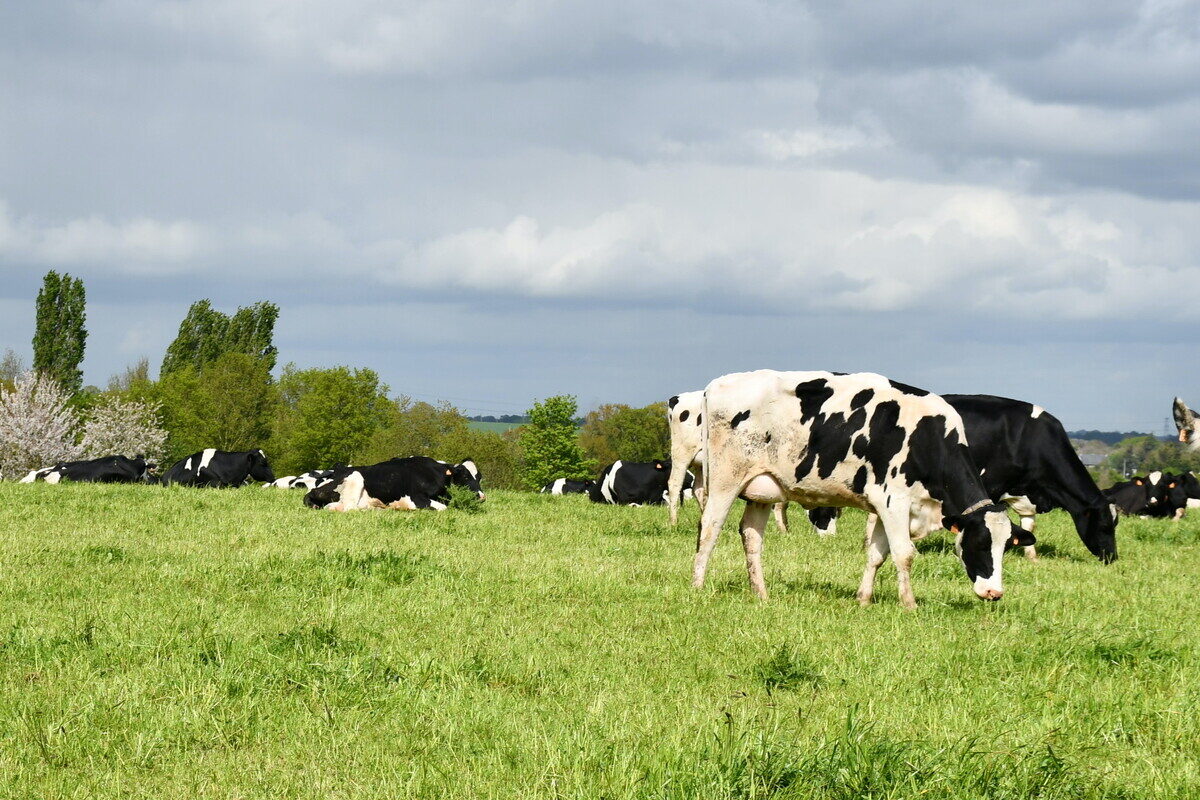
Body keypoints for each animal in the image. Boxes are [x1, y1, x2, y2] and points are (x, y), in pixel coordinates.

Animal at [302, 460, 484, 510]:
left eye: (479, 477)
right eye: (465, 475)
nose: (482, 496)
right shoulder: (417, 498)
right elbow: (443, 508)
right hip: (355, 480)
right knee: (346, 507)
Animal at [696, 371, 1032, 609]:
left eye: (1005, 546)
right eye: (980, 544)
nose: (994, 592)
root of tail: (716, 384)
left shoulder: (884, 507)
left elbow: (876, 554)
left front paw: (864, 598)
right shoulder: (894, 500)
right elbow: (904, 554)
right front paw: (909, 604)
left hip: (762, 489)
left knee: (751, 536)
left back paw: (761, 594)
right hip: (725, 480)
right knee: (710, 528)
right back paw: (697, 586)